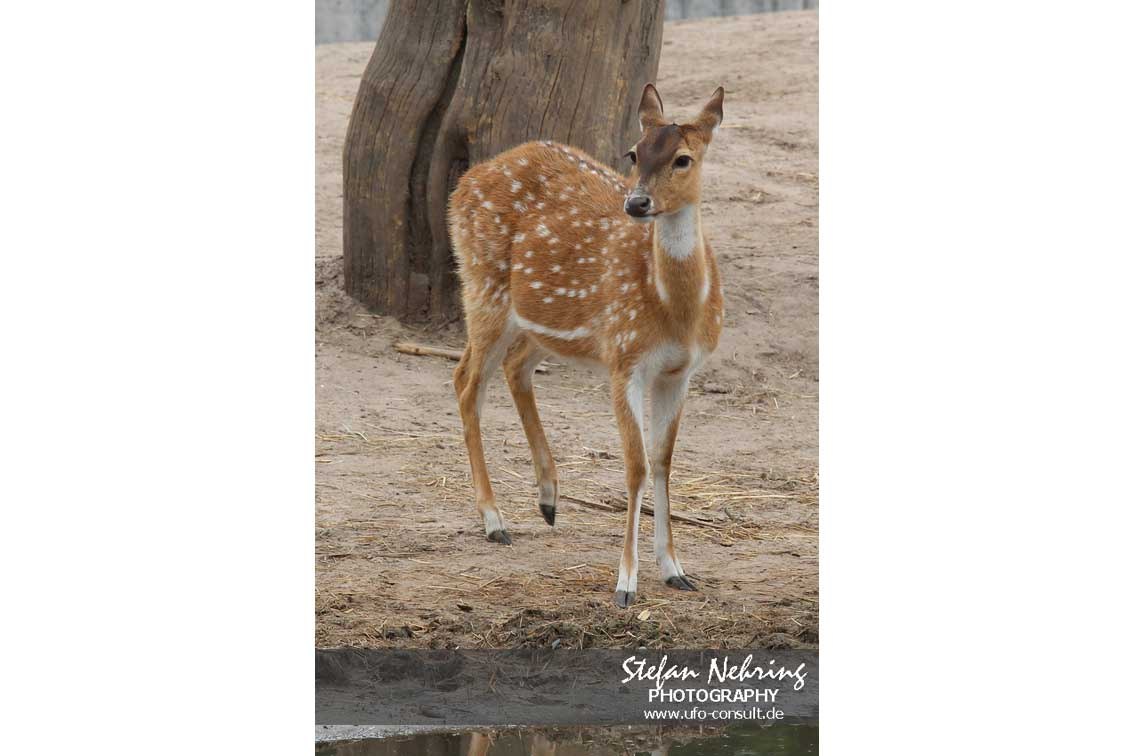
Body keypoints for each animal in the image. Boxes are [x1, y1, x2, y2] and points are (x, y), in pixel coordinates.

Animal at [448, 84, 725, 608]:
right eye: (634, 153)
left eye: (683, 158)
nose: (637, 203)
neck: (675, 312)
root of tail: (465, 182)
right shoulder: (624, 358)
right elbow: (636, 465)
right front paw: (625, 584)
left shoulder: (680, 372)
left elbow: (663, 460)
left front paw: (675, 569)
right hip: (481, 285)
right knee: (466, 381)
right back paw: (494, 520)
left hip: (541, 322)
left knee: (514, 368)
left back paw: (549, 499)